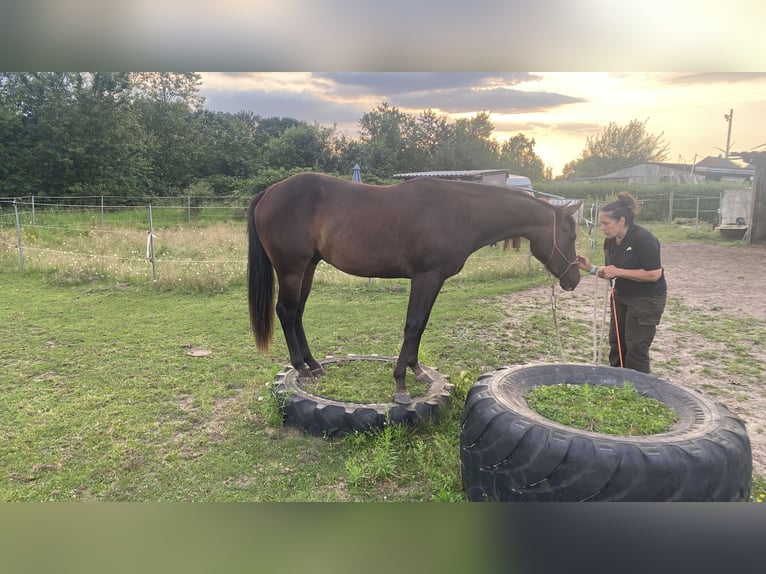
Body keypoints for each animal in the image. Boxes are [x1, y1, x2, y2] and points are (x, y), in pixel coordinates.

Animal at [250, 174, 584, 404]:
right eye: (571, 236)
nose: (574, 279)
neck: (461, 213)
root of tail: (269, 193)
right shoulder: (426, 277)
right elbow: (412, 326)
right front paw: (400, 385)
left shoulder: (434, 280)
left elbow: (420, 326)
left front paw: (417, 370)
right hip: (292, 269)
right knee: (286, 312)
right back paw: (301, 368)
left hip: (308, 267)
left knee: (297, 314)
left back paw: (314, 365)